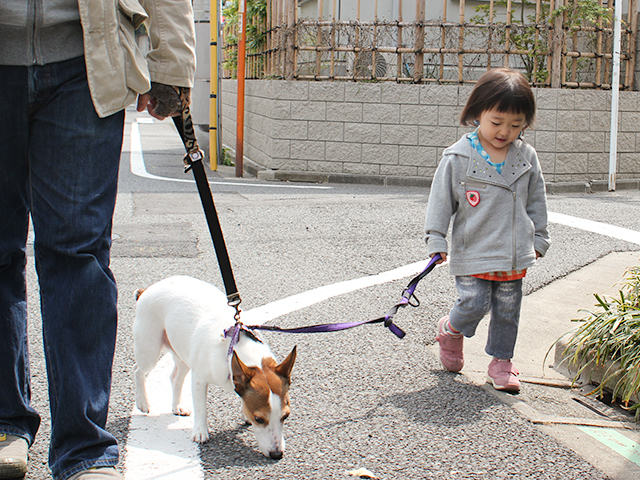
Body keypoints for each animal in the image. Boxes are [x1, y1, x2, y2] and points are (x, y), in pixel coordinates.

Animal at [134, 276, 298, 460]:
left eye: (286, 416)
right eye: (259, 419)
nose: (277, 454)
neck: (233, 345)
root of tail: (147, 290)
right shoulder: (199, 379)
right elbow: (201, 408)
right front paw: (200, 431)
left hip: (183, 351)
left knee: (175, 377)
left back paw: (177, 406)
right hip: (149, 349)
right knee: (138, 370)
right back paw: (142, 402)